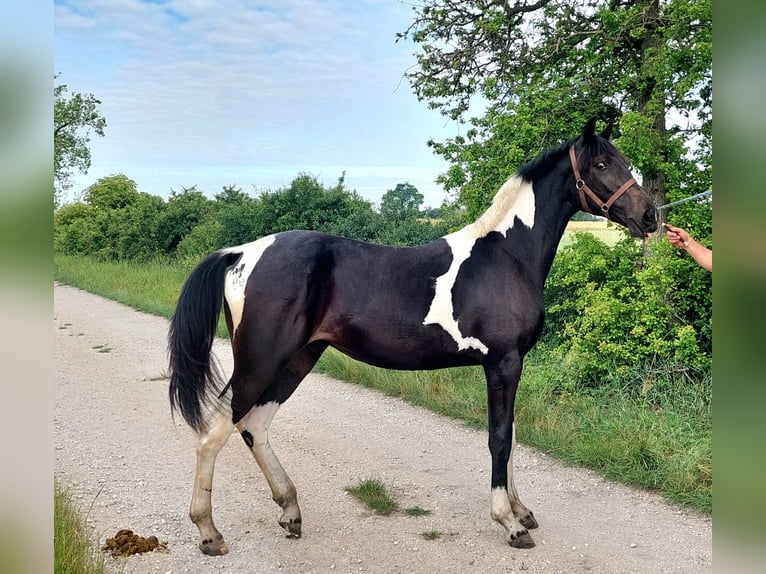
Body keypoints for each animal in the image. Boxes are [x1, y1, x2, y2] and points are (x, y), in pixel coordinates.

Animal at [168, 118, 660, 560]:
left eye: (623, 161)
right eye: (601, 164)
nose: (650, 215)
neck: (505, 255)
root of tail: (240, 254)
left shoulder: (511, 363)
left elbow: (512, 436)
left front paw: (522, 510)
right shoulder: (502, 362)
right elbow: (500, 438)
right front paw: (510, 522)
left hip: (299, 357)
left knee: (255, 425)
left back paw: (290, 512)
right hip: (260, 361)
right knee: (214, 431)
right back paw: (209, 533)